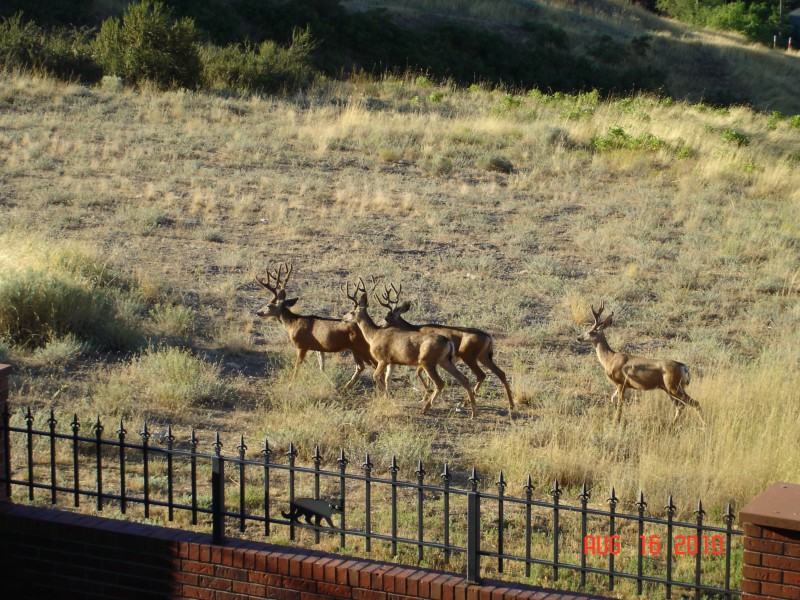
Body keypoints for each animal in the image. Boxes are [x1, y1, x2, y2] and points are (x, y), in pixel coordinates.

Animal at [255, 264, 376, 394]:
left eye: (268, 305)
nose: (258, 312)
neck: (292, 324)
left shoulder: (302, 345)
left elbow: (297, 366)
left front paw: (290, 386)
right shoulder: (319, 347)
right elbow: (322, 367)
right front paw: (333, 385)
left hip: (361, 347)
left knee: (373, 364)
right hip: (355, 349)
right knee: (361, 367)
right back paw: (346, 387)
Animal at [340, 278, 478, 420]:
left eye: (351, 311)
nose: (343, 318)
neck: (373, 335)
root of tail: (448, 341)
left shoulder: (382, 359)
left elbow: (375, 376)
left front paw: (387, 395)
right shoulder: (392, 361)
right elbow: (387, 379)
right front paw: (388, 396)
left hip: (427, 360)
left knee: (440, 383)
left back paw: (425, 408)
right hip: (444, 360)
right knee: (464, 379)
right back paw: (474, 413)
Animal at [376, 284, 512, 410]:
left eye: (386, 318)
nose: (379, 327)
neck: (416, 329)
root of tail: (488, 336)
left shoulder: (426, 357)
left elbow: (419, 373)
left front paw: (427, 395)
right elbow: (423, 375)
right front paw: (426, 396)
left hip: (469, 355)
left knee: (481, 374)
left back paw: (466, 402)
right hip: (483, 356)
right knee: (500, 373)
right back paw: (510, 404)